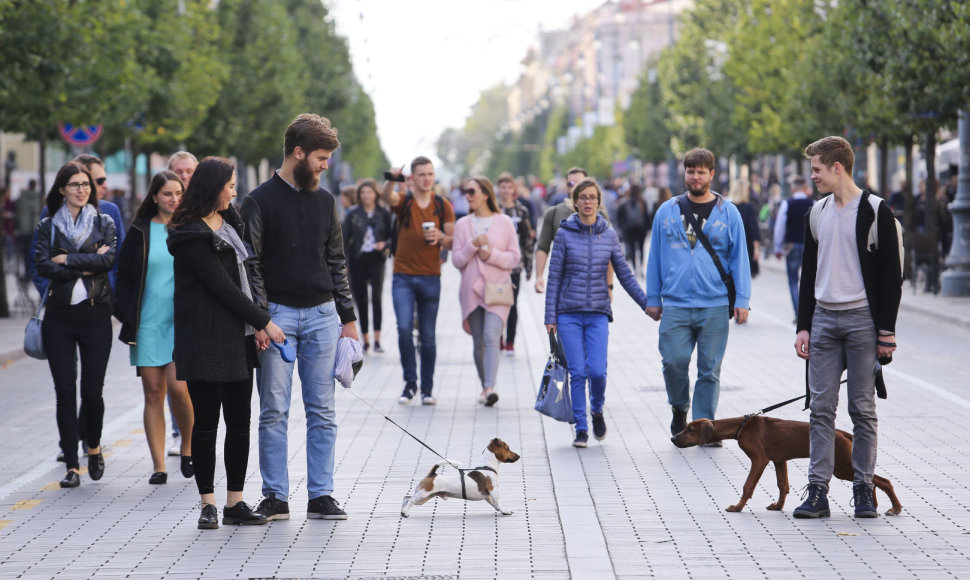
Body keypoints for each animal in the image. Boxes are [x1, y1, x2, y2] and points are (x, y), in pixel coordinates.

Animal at [672, 414, 900, 516]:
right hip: (844, 466)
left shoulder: (760, 459)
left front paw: (737, 507)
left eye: (690, 430)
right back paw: (874, 506)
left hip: (842, 466)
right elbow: (783, 485)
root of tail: (843, 433)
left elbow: (748, 486)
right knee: (870, 479)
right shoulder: (779, 460)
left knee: (883, 480)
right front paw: (778, 506)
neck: (741, 426)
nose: (673, 439)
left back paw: (895, 508)